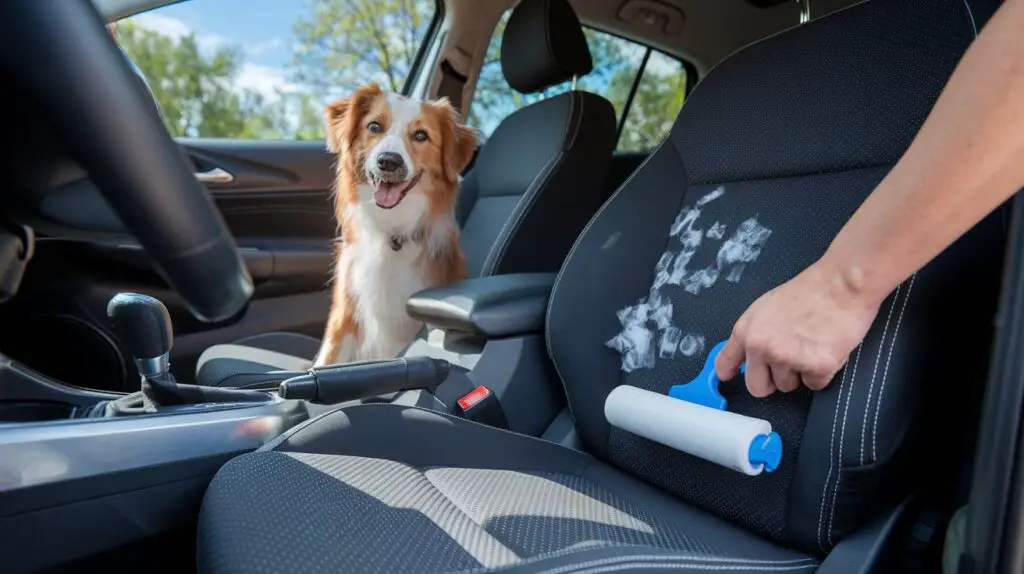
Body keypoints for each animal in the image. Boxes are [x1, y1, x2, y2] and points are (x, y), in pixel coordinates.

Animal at [313, 82, 477, 364]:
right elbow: (328, 358)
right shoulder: (346, 311)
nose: (388, 161)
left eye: (421, 135)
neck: (392, 230)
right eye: (374, 126)